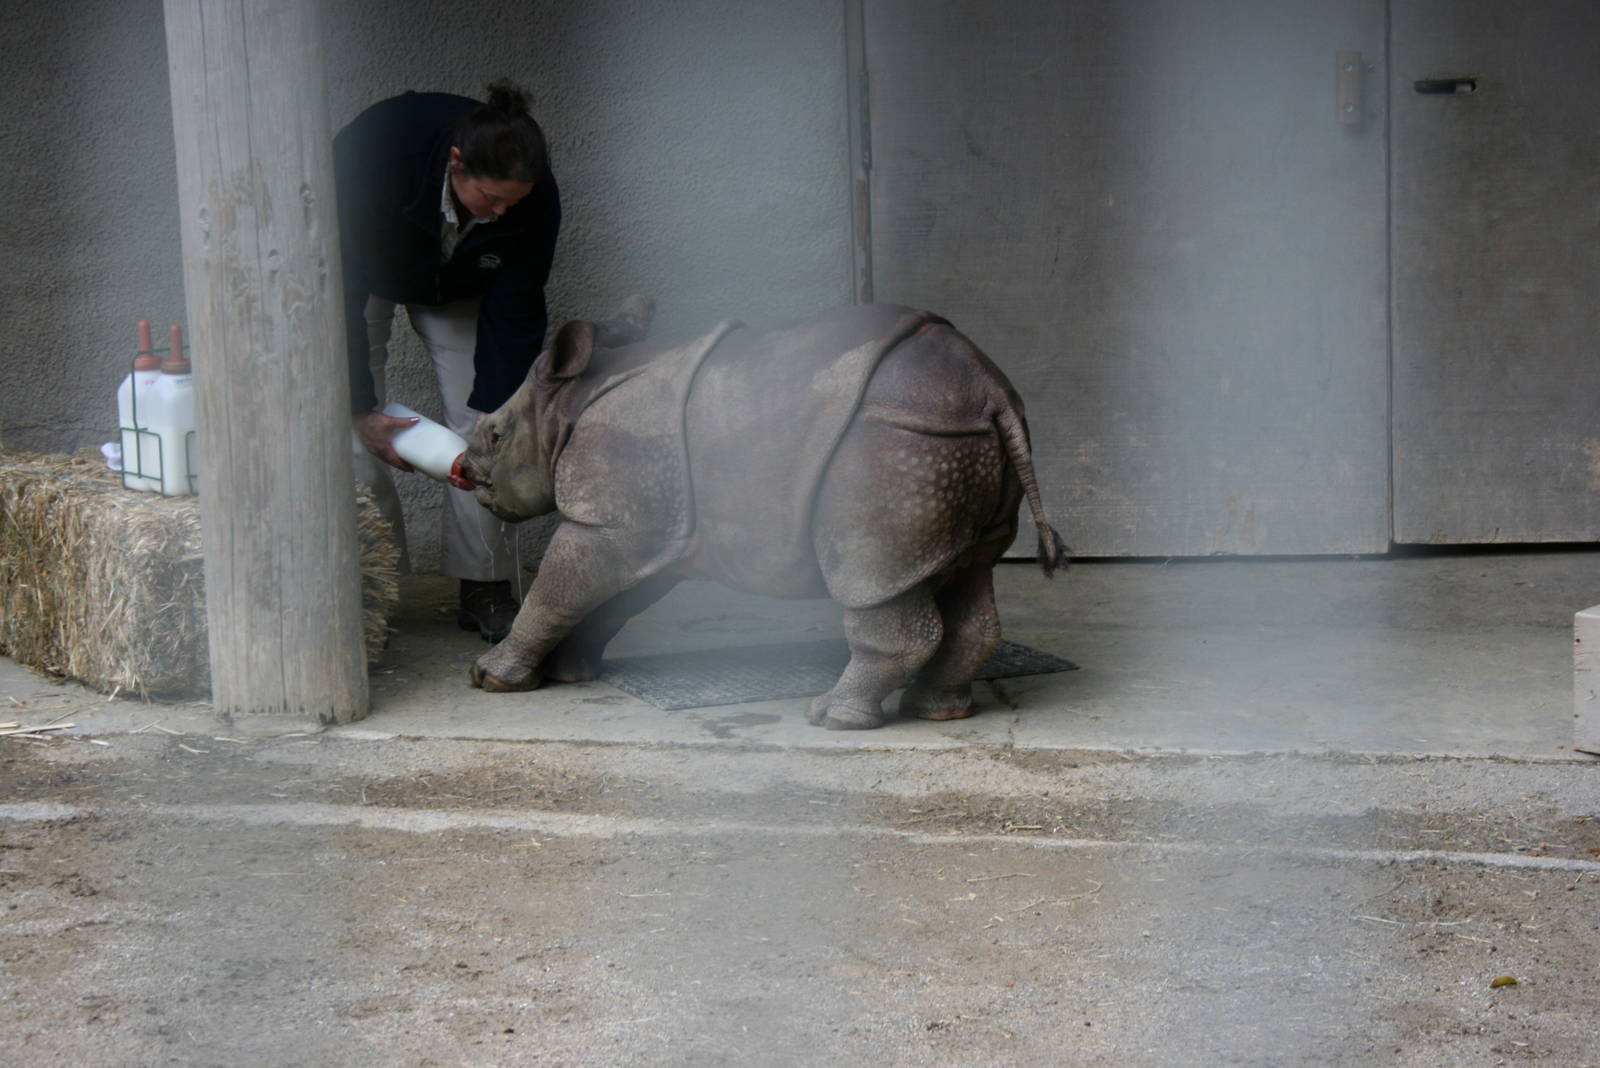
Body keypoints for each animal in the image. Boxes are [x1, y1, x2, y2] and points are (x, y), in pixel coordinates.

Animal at [460, 303, 1067, 730]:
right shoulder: (651, 526)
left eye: (496, 434)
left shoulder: (611, 519)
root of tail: (988, 387)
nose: (466, 469)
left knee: (871, 576)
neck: (565, 406)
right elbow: (609, 599)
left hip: (899, 442)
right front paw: (569, 673)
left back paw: (832, 718)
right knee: (970, 571)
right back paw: (937, 711)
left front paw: (491, 677)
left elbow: (555, 591)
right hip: (957, 441)